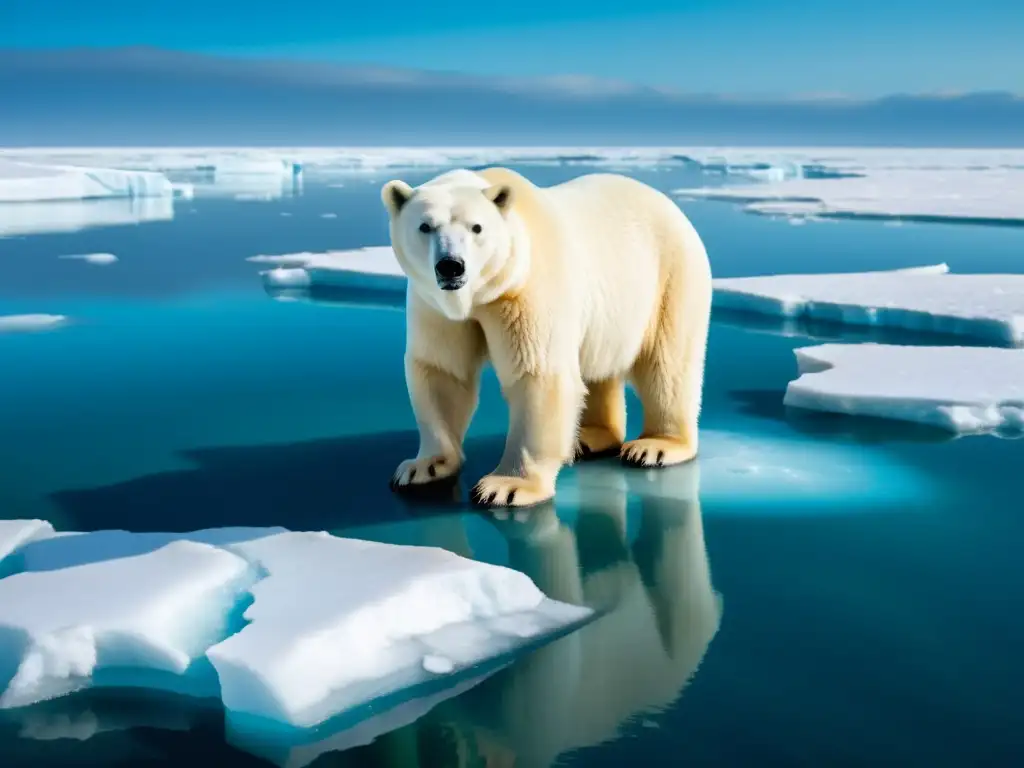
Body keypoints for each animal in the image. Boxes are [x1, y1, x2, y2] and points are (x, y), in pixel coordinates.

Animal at [380, 165, 708, 507]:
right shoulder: (434, 304)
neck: (483, 293)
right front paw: (423, 467)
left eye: (477, 227)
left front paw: (506, 486)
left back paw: (656, 445)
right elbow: (443, 371)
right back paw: (587, 437)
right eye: (425, 226)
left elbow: (537, 374)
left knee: (667, 365)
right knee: (598, 368)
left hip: (669, 278)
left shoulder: (525, 289)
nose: (451, 266)